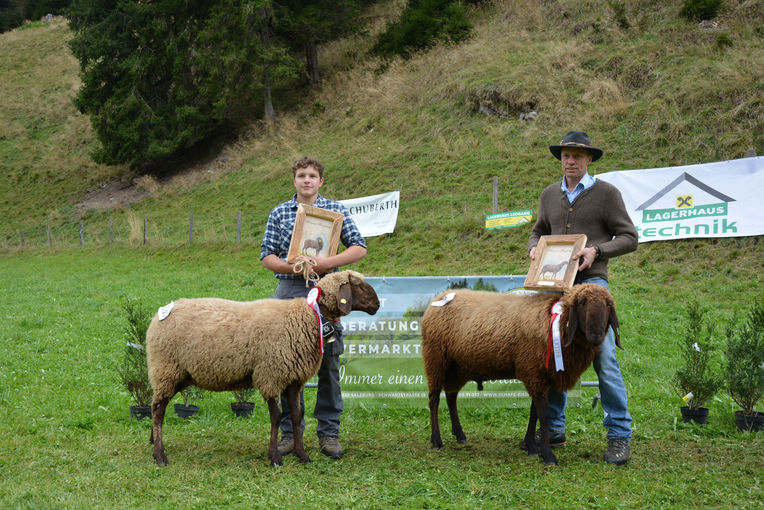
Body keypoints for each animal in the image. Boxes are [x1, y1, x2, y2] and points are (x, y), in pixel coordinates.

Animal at [144, 270, 380, 466]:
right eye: (358, 285)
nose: (377, 305)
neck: (308, 317)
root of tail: (157, 317)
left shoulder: (294, 380)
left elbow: (297, 416)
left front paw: (301, 455)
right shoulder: (270, 376)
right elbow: (277, 417)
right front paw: (274, 457)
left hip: (176, 374)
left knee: (157, 408)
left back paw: (153, 441)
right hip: (166, 369)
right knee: (157, 411)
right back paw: (160, 456)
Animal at [418, 284, 620, 464]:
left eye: (608, 305)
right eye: (581, 303)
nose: (596, 336)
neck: (556, 323)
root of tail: (439, 298)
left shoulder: (538, 376)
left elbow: (534, 412)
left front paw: (531, 446)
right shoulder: (532, 372)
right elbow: (543, 414)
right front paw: (547, 455)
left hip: (457, 367)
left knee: (451, 397)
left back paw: (460, 435)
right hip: (435, 358)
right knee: (434, 399)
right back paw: (436, 441)